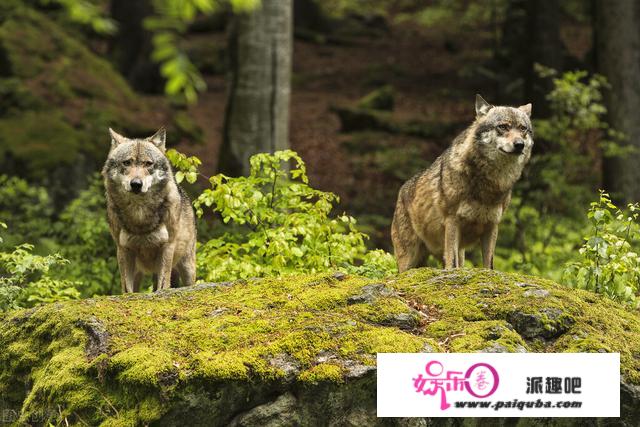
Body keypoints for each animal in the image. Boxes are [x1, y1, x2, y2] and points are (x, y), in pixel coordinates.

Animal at [102, 129, 196, 292]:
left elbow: (163, 285)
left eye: (148, 164)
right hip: (139, 272)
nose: (136, 184)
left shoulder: (167, 246)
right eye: (127, 162)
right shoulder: (123, 249)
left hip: (187, 267)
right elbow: (127, 289)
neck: (139, 214)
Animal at [392, 95, 532, 272]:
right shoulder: (452, 222)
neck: (489, 184)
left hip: (458, 253)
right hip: (409, 261)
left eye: (523, 129)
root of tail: (401, 191)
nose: (519, 144)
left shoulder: (492, 226)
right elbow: (452, 265)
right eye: (503, 127)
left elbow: (489, 265)